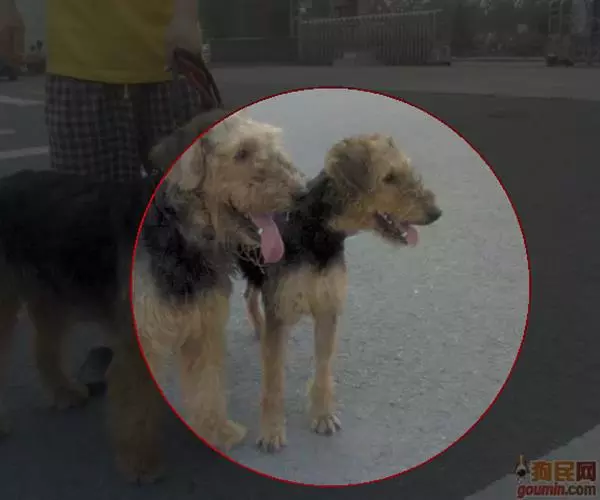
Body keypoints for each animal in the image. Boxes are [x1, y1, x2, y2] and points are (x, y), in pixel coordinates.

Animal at [0, 110, 303, 482]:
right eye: (241, 153)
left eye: (271, 144)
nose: (301, 192)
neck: (182, 233)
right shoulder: (139, 340)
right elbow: (137, 405)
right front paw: (141, 463)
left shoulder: (203, 329)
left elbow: (208, 387)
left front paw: (218, 431)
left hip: (51, 297)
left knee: (44, 349)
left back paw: (64, 391)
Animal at [238, 134, 442, 452]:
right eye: (389, 177)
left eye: (407, 171)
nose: (435, 213)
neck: (316, 232)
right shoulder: (281, 314)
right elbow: (273, 382)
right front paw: (272, 431)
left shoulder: (328, 311)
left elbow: (323, 370)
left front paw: (322, 416)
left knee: (250, 295)